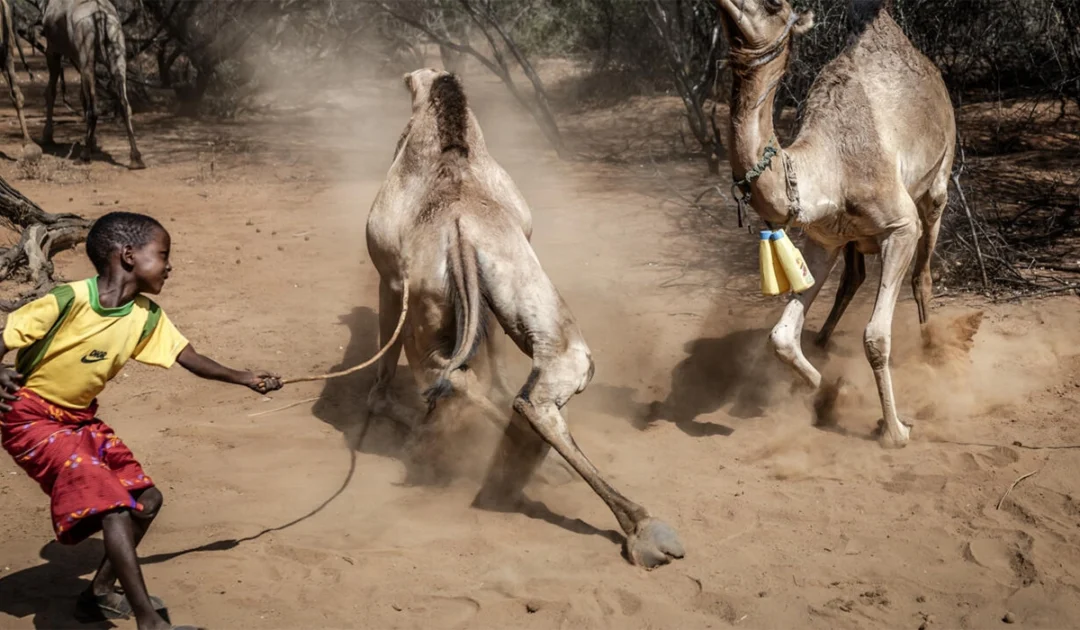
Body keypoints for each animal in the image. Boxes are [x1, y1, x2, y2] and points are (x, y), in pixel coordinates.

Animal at [42, 0, 144, 169]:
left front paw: (47, 136)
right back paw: (136, 158)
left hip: (86, 57)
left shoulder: (53, 50)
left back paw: (84, 156)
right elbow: (83, 97)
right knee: (124, 102)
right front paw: (93, 142)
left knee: (94, 109)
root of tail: (100, 14)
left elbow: (51, 92)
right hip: (117, 52)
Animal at [365, 68, 684, 568]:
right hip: (519, 286)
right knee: (539, 380)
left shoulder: (391, 279)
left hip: (429, 301)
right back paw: (642, 529)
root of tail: (458, 229)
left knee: (451, 376)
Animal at [715, 0, 956, 447]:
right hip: (853, 237)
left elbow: (875, 337)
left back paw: (932, 350)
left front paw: (895, 430)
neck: (831, 168)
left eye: (773, 5)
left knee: (923, 273)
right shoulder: (822, 240)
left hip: (937, 182)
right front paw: (825, 389)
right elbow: (781, 338)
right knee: (853, 276)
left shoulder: (900, 226)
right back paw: (824, 341)